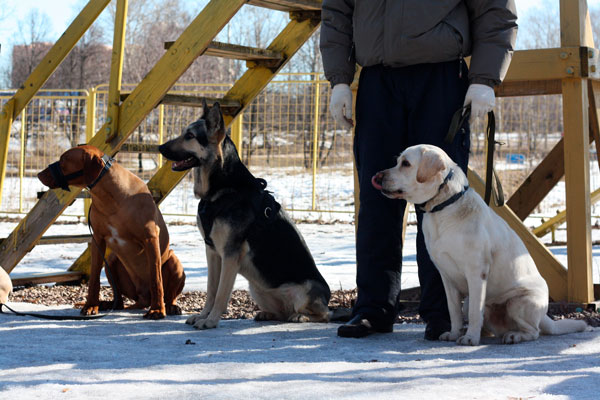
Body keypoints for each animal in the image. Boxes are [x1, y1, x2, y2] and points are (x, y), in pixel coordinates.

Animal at [38, 145, 186, 319]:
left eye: (63, 160)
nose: (39, 174)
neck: (110, 198)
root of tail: (143, 298)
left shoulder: (150, 238)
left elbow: (156, 278)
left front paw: (157, 310)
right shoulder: (98, 239)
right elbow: (94, 278)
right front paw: (91, 306)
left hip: (174, 261)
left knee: (170, 295)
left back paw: (170, 306)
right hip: (111, 261)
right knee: (119, 301)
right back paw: (107, 305)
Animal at [158, 101, 335, 329]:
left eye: (190, 136)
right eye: (184, 133)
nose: (159, 148)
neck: (222, 190)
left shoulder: (230, 255)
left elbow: (221, 293)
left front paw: (211, 320)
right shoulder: (212, 252)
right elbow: (211, 290)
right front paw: (203, 315)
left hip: (304, 290)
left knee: (324, 314)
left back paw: (302, 317)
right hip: (256, 289)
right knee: (282, 313)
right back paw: (268, 314)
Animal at [372, 144, 588, 345]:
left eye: (406, 163)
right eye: (398, 161)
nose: (377, 177)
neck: (443, 207)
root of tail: (545, 317)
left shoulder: (476, 272)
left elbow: (476, 312)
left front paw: (470, 339)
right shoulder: (446, 276)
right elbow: (454, 312)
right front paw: (455, 333)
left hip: (519, 302)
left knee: (533, 331)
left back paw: (514, 336)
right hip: (470, 301)